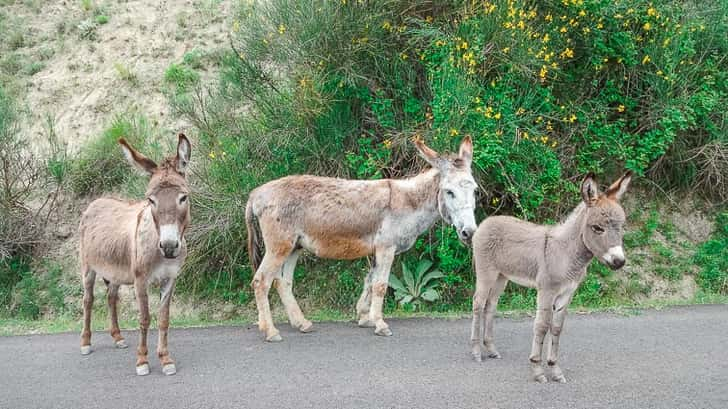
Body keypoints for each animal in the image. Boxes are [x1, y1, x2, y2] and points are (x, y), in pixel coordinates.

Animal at [472, 171, 632, 380]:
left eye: (622, 227)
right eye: (597, 228)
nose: (619, 261)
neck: (567, 252)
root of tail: (486, 222)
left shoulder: (567, 292)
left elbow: (556, 328)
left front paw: (555, 369)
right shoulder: (547, 290)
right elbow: (541, 326)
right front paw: (537, 369)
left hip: (501, 277)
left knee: (491, 305)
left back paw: (491, 349)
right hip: (486, 272)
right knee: (478, 303)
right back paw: (476, 352)